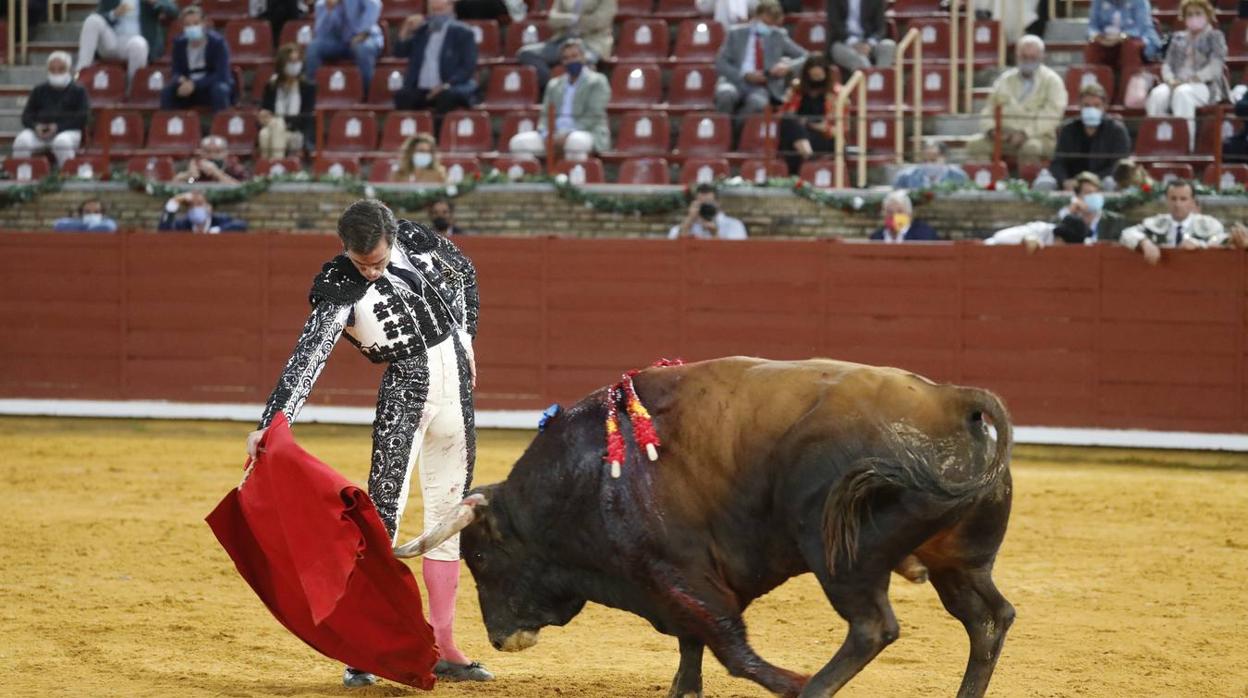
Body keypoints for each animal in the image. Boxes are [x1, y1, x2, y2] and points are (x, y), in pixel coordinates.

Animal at [394, 359, 1018, 698]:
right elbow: (691, 642)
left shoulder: (679, 572)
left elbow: (726, 644)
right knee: (989, 619)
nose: (501, 638)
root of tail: (952, 400)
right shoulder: (670, 582)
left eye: (479, 558)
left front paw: (789, 682)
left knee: (873, 628)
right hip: (957, 561)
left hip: (845, 559)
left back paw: (813, 687)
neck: (593, 477)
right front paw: (683, 687)